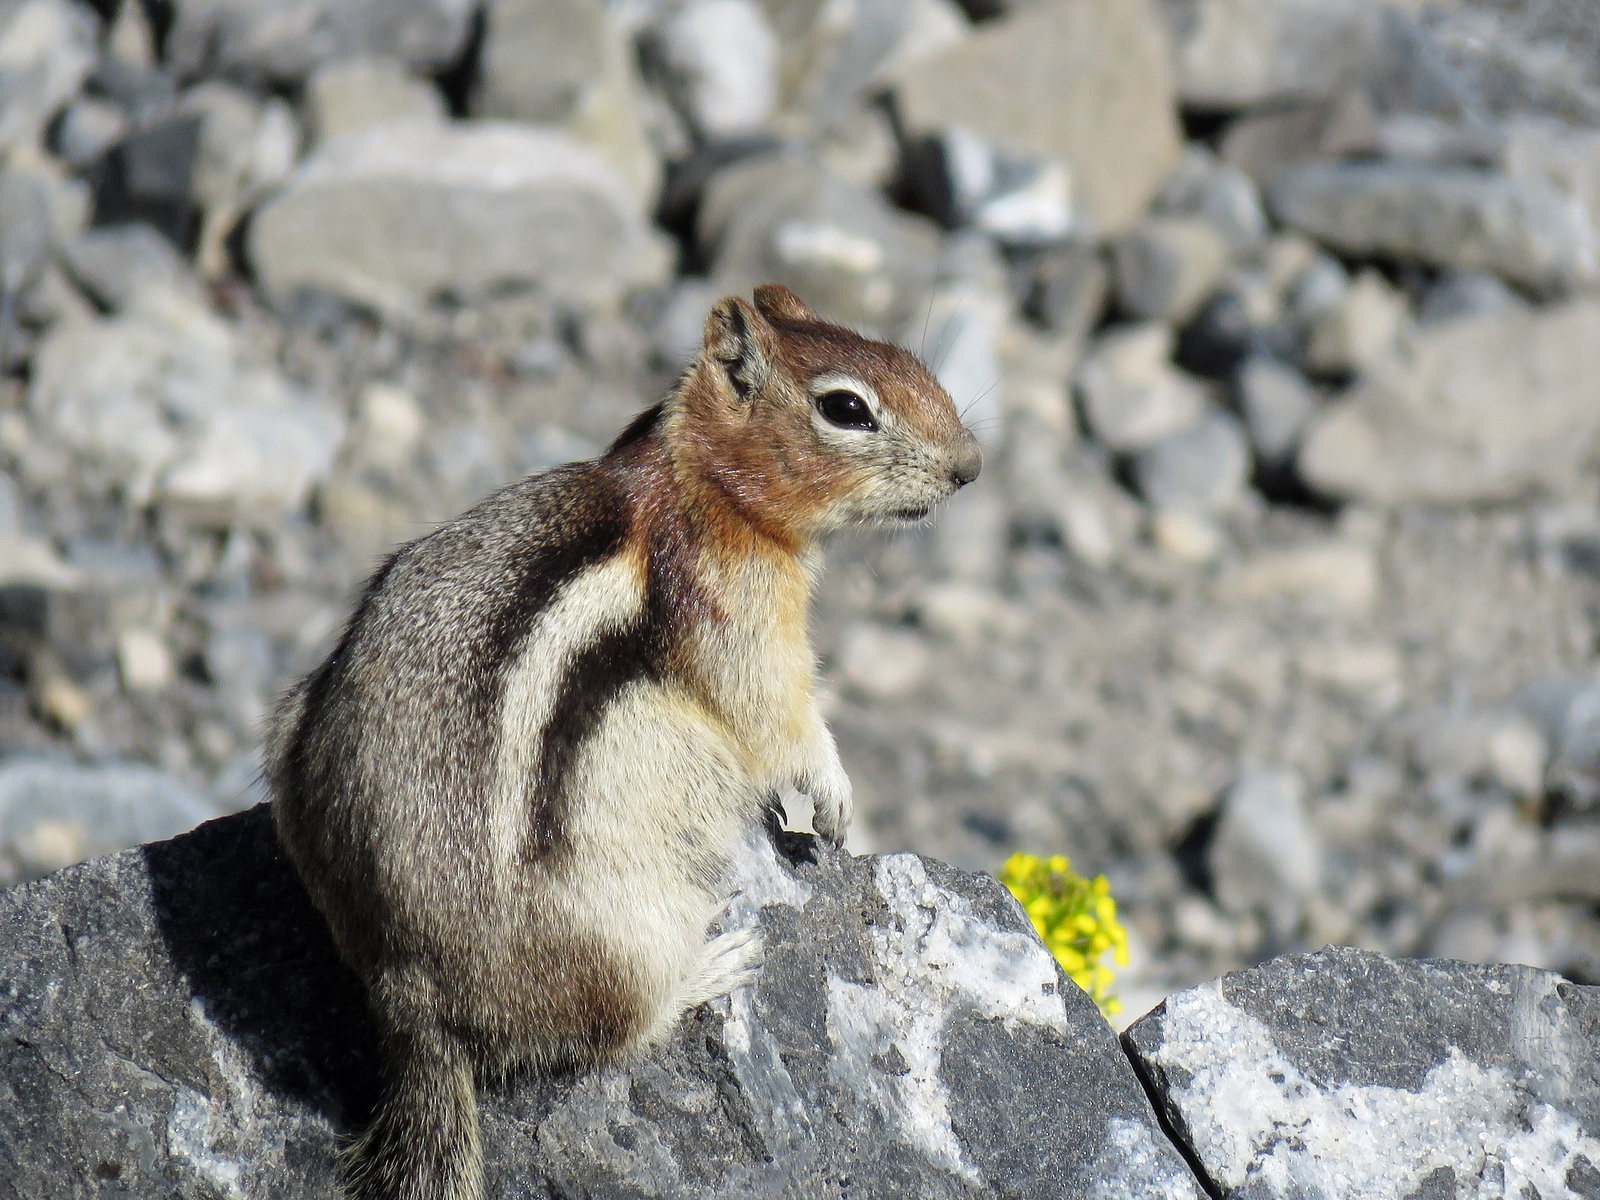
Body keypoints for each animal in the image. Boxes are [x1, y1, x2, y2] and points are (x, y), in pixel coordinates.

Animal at [268, 286, 979, 1196]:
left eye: (907, 357)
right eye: (846, 408)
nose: (971, 467)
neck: (700, 480)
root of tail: (409, 997)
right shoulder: (737, 614)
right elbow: (776, 718)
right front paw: (831, 794)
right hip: (628, 933)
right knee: (619, 1028)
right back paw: (714, 967)